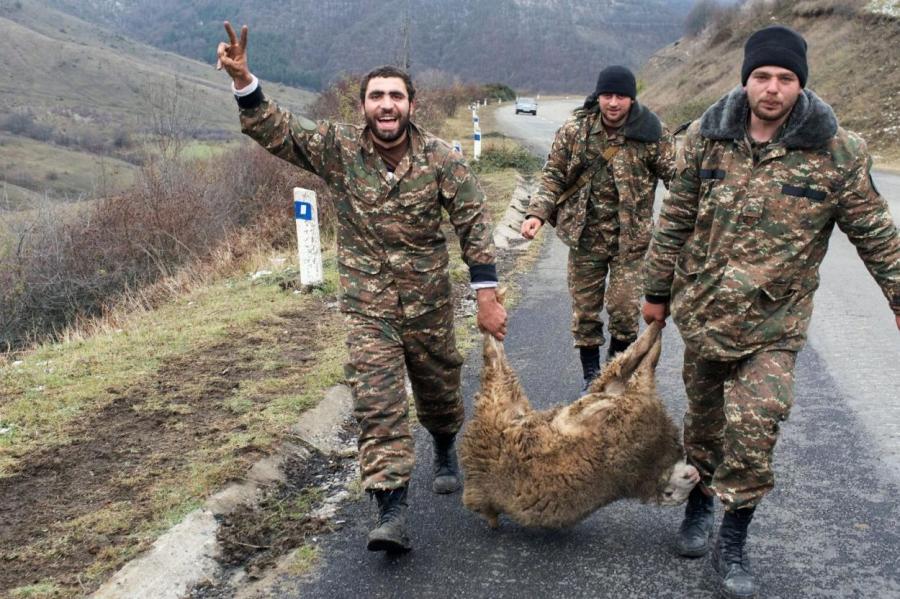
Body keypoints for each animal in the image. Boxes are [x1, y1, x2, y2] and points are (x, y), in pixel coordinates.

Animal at [460, 324, 700, 528]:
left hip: (499, 406)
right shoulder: (635, 419)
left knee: (496, 367)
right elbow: (637, 371)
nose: (694, 475)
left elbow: (628, 375)